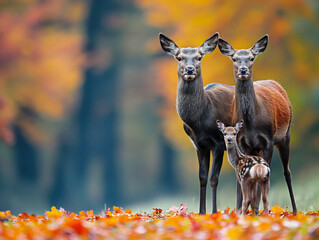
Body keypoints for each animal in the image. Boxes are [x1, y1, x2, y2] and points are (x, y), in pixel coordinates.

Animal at [159, 32, 235, 215]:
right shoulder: (199, 145)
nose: (189, 69)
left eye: (199, 57)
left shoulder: (219, 142)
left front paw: (214, 212)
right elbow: (202, 177)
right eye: (179, 57)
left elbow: (214, 178)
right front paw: (201, 212)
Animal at [219, 34, 298, 215]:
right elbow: (241, 184)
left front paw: (257, 211)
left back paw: (294, 210)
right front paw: (240, 211)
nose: (243, 70)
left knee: (287, 172)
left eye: (251, 58)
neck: (250, 124)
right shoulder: (243, 142)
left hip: (285, 136)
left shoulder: (268, 140)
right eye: (234, 58)